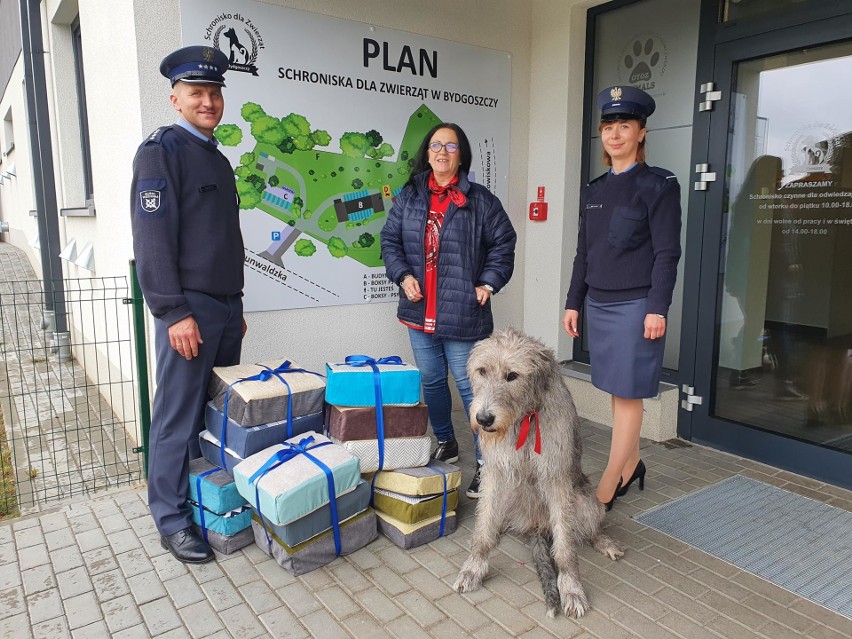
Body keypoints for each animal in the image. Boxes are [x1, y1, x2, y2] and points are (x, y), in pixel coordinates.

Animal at [452, 328, 624, 616]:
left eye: (512, 375)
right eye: (482, 371)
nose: (484, 419)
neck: (523, 417)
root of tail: (536, 524)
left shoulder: (556, 478)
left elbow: (564, 545)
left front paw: (571, 588)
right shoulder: (494, 474)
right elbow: (484, 528)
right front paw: (473, 567)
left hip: (586, 500)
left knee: (587, 526)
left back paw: (603, 541)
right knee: (493, 518)